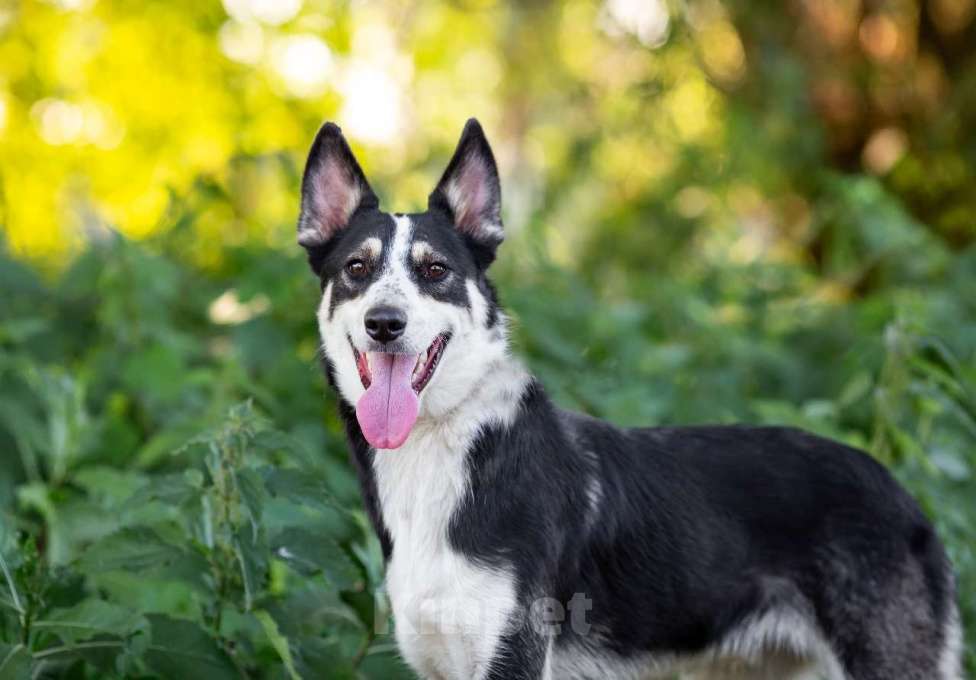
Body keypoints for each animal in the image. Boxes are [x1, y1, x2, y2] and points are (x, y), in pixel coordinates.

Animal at [296, 119, 960, 676]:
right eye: (357, 268)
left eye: (434, 271)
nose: (385, 323)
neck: (446, 443)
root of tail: (902, 493)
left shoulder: (513, 655)